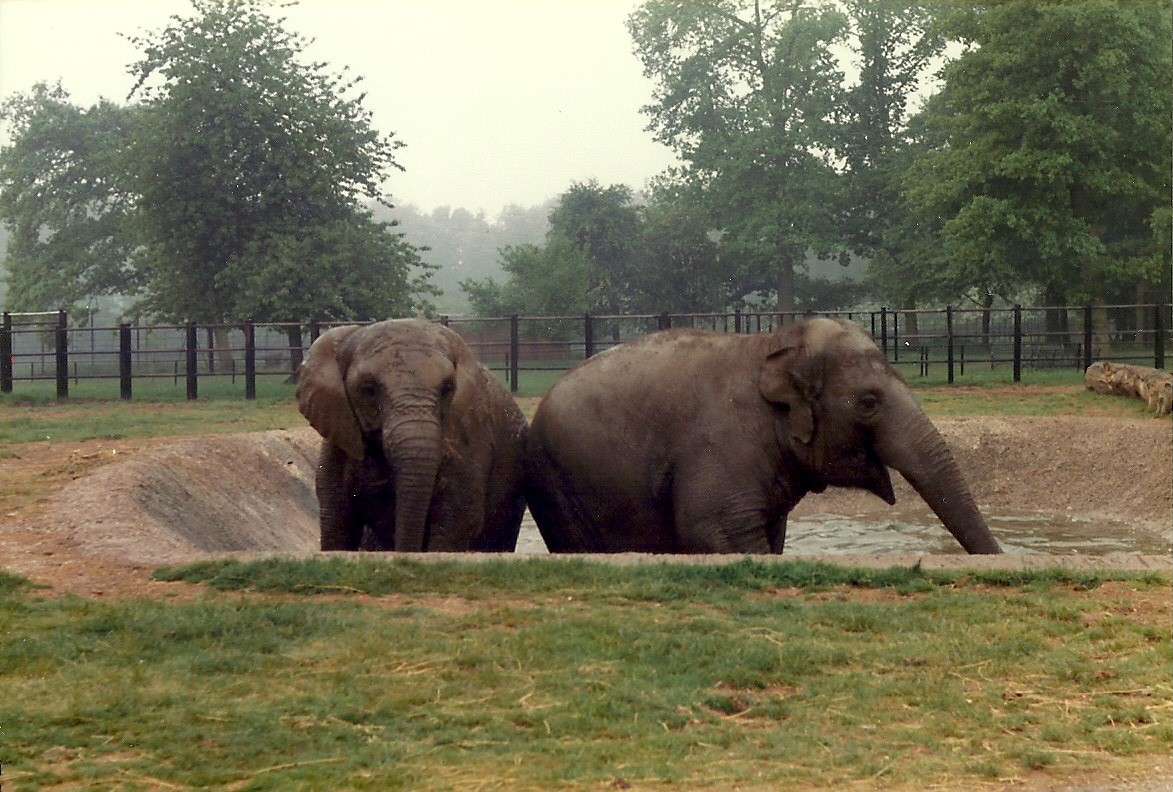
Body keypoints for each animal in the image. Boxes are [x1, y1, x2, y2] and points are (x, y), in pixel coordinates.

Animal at [296, 319, 527, 552]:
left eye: (447, 389)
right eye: (368, 389)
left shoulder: (471, 440)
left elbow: (458, 519)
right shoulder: (339, 441)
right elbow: (337, 522)